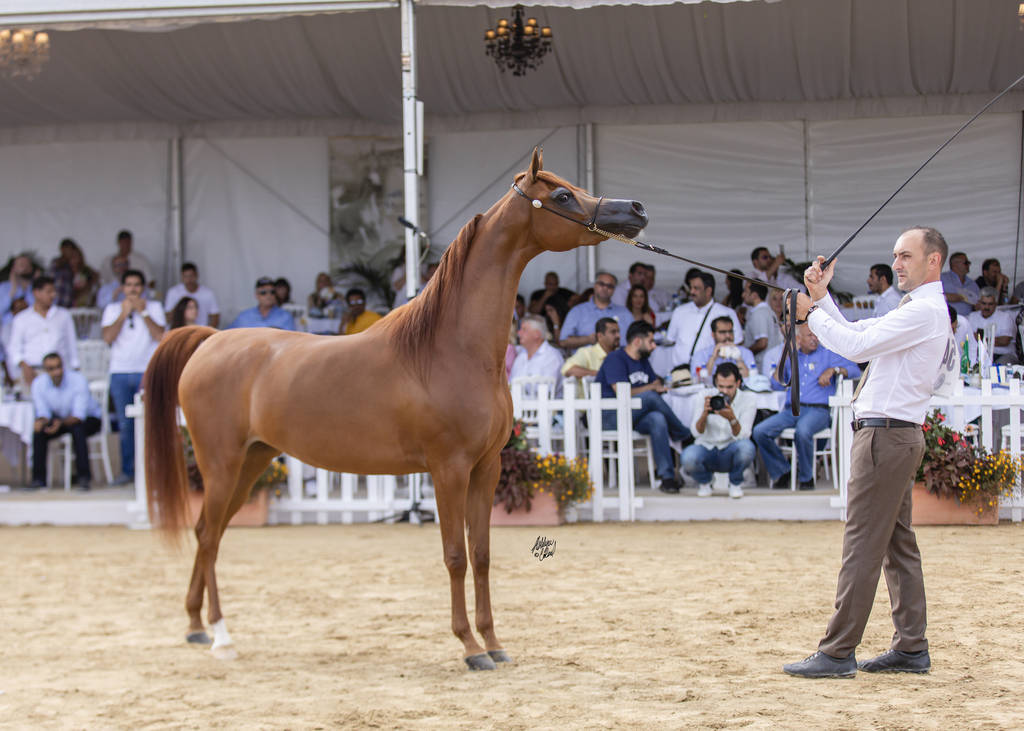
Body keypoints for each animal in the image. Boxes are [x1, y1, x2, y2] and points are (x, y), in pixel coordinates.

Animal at [143, 147, 649, 670]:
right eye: (563, 195)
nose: (634, 209)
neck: (449, 348)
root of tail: (210, 341)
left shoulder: (486, 468)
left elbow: (482, 554)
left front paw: (494, 642)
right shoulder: (448, 469)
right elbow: (455, 555)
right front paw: (470, 648)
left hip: (252, 462)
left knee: (210, 531)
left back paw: (196, 626)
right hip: (221, 464)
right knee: (207, 536)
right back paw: (221, 636)